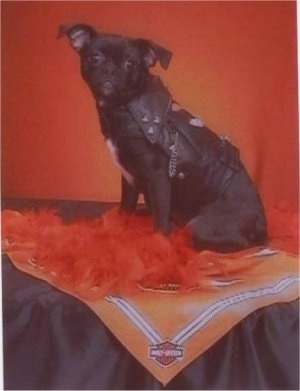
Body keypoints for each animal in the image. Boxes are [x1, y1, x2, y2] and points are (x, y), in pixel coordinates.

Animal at [58, 23, 268, 253]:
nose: (111, 70)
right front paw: (118, 233)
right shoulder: (129, 180)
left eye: (130, 63)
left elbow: (159, 224)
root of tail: (261, 227)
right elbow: (125, 211)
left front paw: (158, 247)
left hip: (200, 226)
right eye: (95, 58)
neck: (126, 106)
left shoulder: (158, 179)